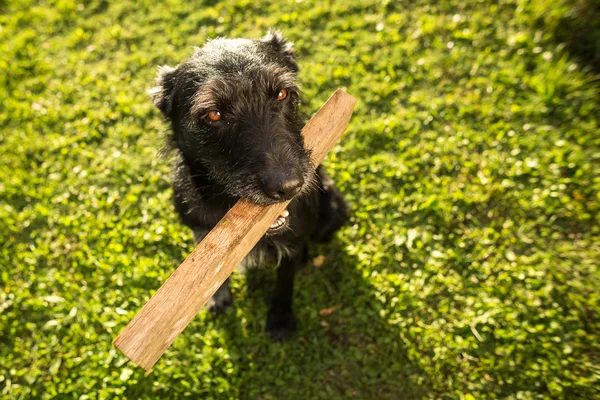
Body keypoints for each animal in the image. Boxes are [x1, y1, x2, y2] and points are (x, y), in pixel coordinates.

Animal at [149, 30, 346, 340]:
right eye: (214, 114)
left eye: (282, 93)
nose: (289, 186)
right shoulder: (199, 231)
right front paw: (218, 297)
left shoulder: (291, 244)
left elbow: (284, 283)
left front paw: (280, 319)